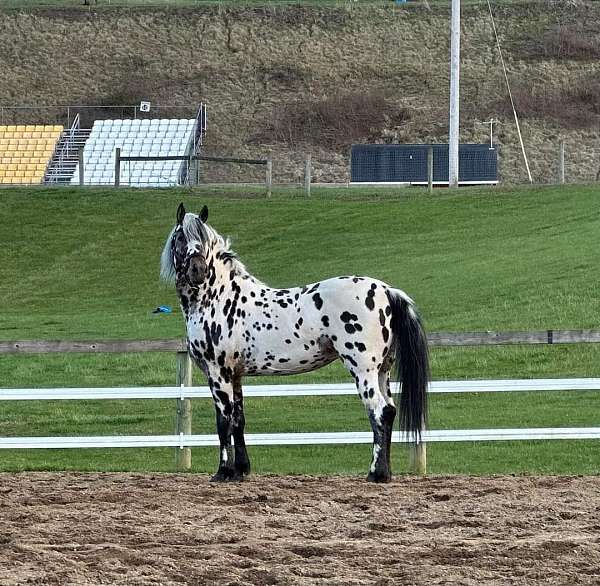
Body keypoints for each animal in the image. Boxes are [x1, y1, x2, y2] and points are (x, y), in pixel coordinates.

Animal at [161, 203, 432, 482]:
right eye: (181, 237)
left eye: (203, 239)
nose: (197, 271)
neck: (218, 297)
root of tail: (386, 290)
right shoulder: (235, 375)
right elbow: (238, 420)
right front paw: (241, 470)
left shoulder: (218, 373)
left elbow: (223, 421)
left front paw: (223, 472)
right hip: (383, 370)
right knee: (389, 410)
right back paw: (384, 473)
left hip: (363, 369)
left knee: (379, 411)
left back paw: (376, 473)